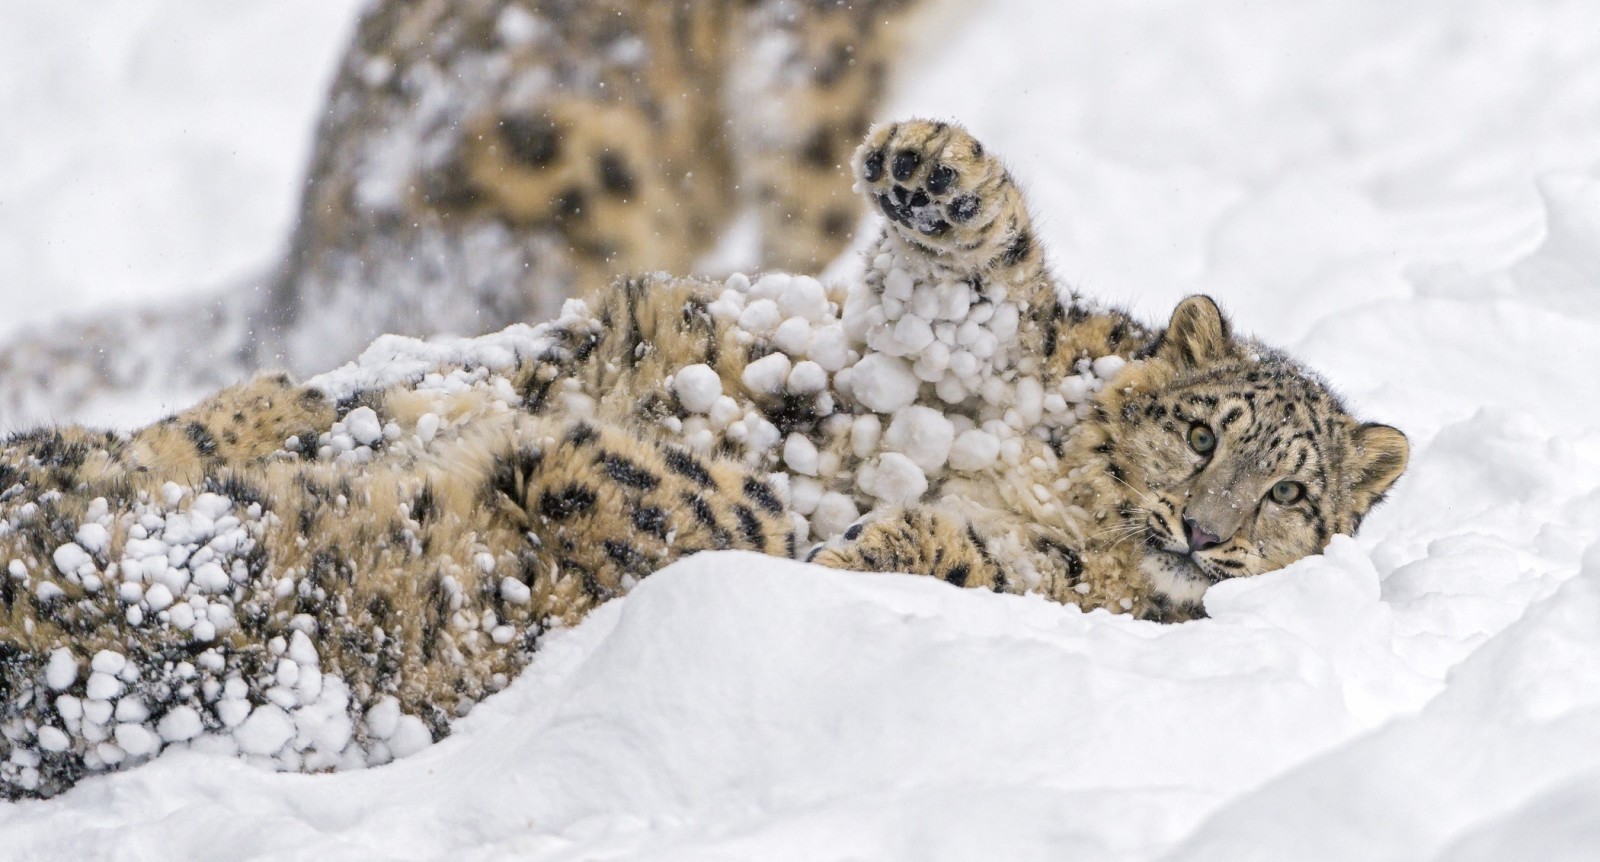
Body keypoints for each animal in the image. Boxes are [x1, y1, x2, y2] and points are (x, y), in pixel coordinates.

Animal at [0, 118, 1408, 799]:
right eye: (1203, 432)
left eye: (1290, 489)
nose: (1206, 529)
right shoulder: (966, 356)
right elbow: (988, 279)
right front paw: (933, 167)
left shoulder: (1049, 577)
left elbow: (963, 559)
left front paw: (867, 542)